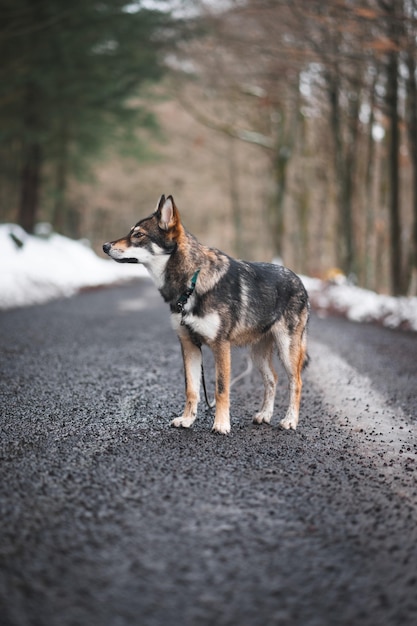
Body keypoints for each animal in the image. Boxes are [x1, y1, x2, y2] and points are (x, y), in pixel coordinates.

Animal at [102, 195, 308, 434]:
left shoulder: (221, 347)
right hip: (258, 355)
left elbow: (220, 389)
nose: (105, 246)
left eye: (138, 235)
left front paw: (221, 424)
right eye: (131, 233)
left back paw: (290, 420)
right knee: (272, 379)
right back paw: (265, 415)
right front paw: (187, 420)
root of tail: (298, 279)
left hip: (287, 351)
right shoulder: (189, 345)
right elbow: (192, 390)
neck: (191, 282)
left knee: (296, 383)